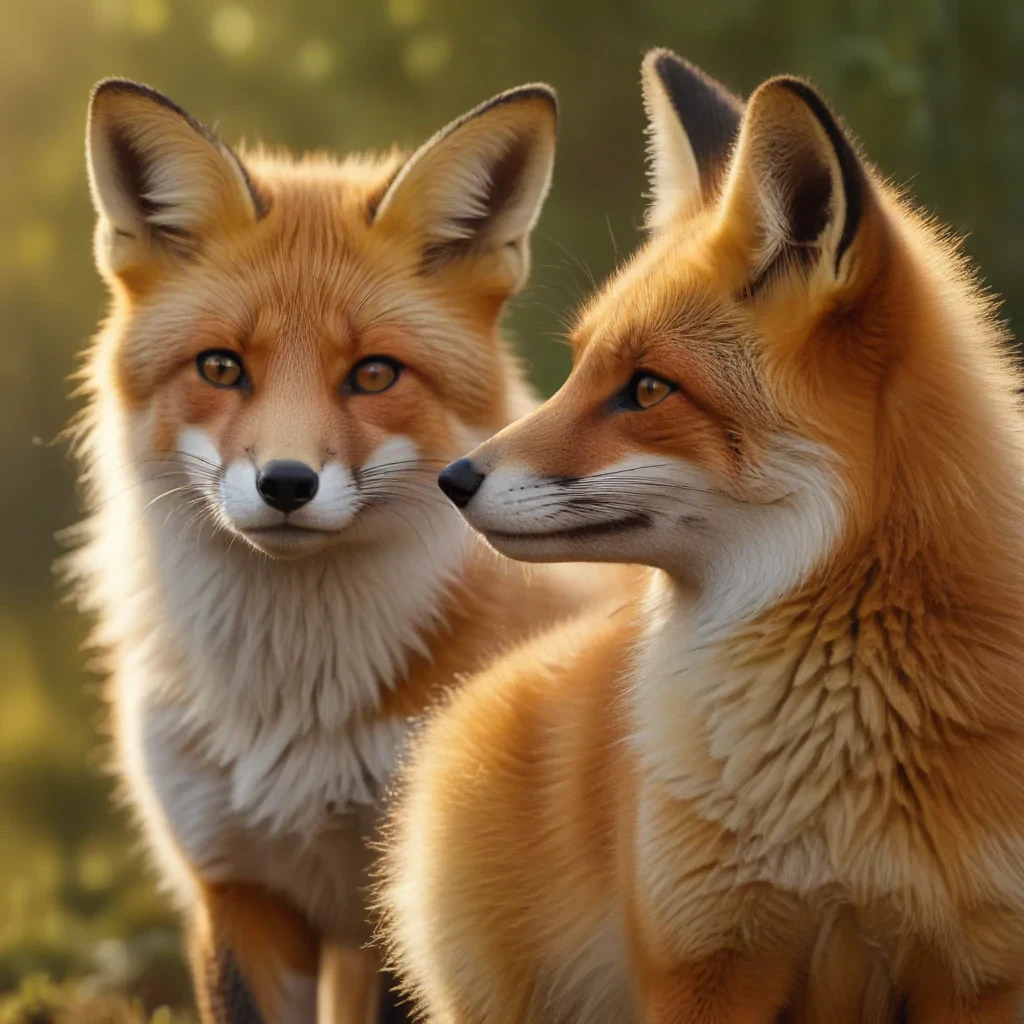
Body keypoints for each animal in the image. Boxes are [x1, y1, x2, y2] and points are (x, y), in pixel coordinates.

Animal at [69, 77, 618, 1024]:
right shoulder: (237, 890)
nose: (287, 483)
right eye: (221, 368)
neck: (296, 704)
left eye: (373, 374)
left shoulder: (407, 901)